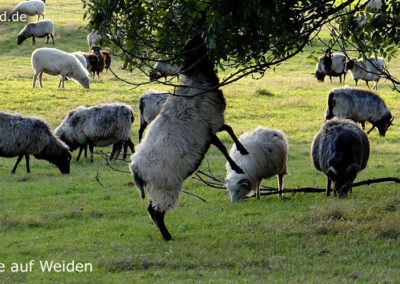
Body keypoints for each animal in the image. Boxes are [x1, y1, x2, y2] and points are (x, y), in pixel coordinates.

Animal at [130, 34, 250, 241]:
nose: (203, 35)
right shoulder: (209, 125)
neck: (197, 79)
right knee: (156, 212)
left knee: (152, 210)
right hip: (164, 185)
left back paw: (165, 235)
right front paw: (237, 165)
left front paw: (242, 151)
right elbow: (224, 142)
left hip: (157, 187)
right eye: (193, 47)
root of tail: (135, 168)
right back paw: (167, 236)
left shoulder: (209, 127)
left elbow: (227, 132)